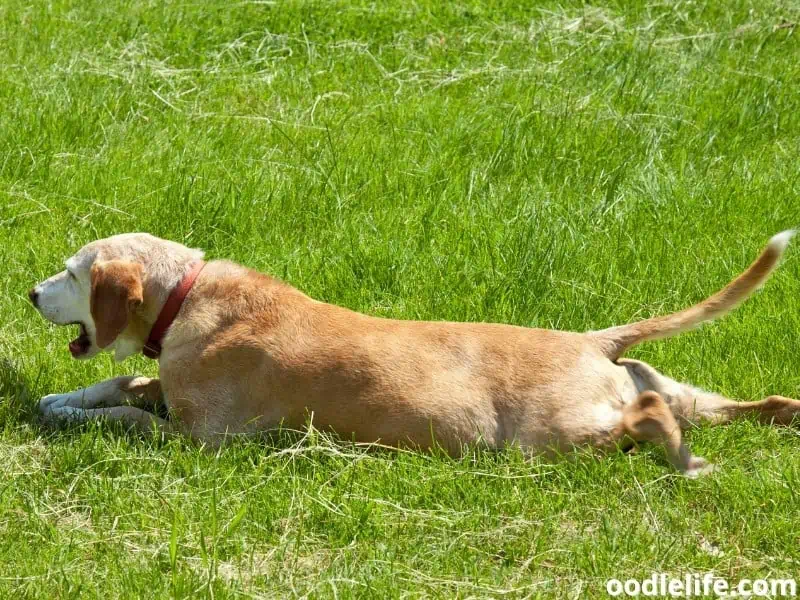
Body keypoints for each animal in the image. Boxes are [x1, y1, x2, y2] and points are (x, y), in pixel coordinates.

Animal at [29, 232, 800, 476]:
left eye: (71, 272)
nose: (33, 293)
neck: (189, 295)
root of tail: (592, 341)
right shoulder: (167, 384)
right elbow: (118, 384)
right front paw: (61, 401)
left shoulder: (199, 439)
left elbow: (125, 414)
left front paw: (70, 415)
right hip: (680, 390)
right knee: (759, 403)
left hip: (555, 437)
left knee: (644, 419)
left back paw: (681, 457)